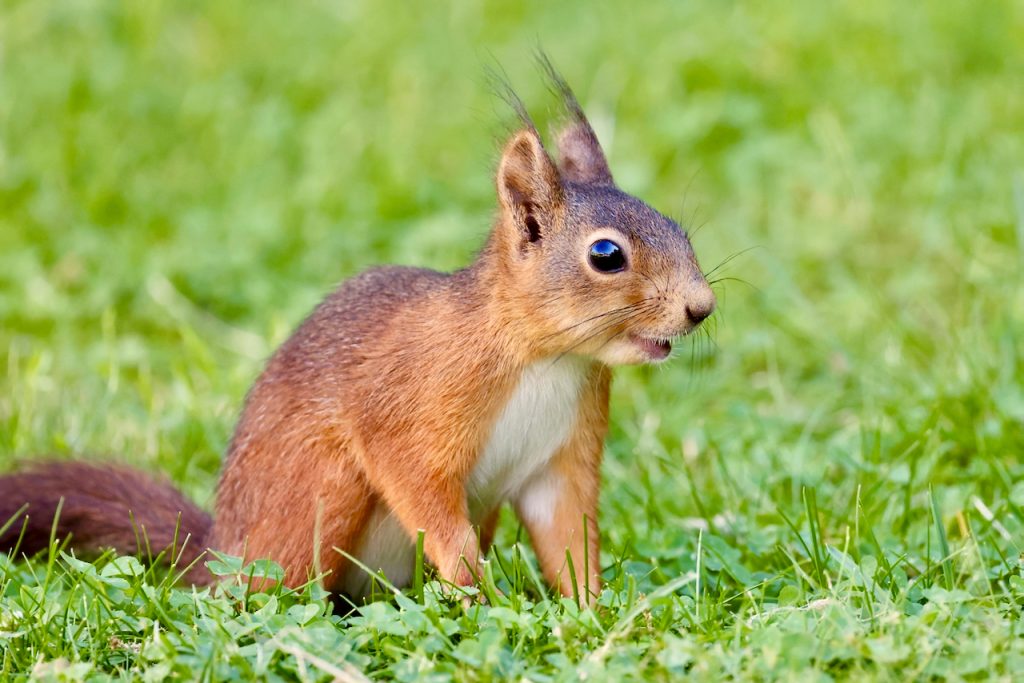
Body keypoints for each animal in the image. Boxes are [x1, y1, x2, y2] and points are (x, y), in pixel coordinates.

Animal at [0, 66, 716, 606]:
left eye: (680, 228)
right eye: (606, 255)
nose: (701, 308)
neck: (549, 359)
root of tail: (221, 552)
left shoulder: (562, 456)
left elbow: (569, 538)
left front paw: (597, 612)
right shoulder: (411, 407)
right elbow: (420, 487)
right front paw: (476, 589)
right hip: (321, 491)